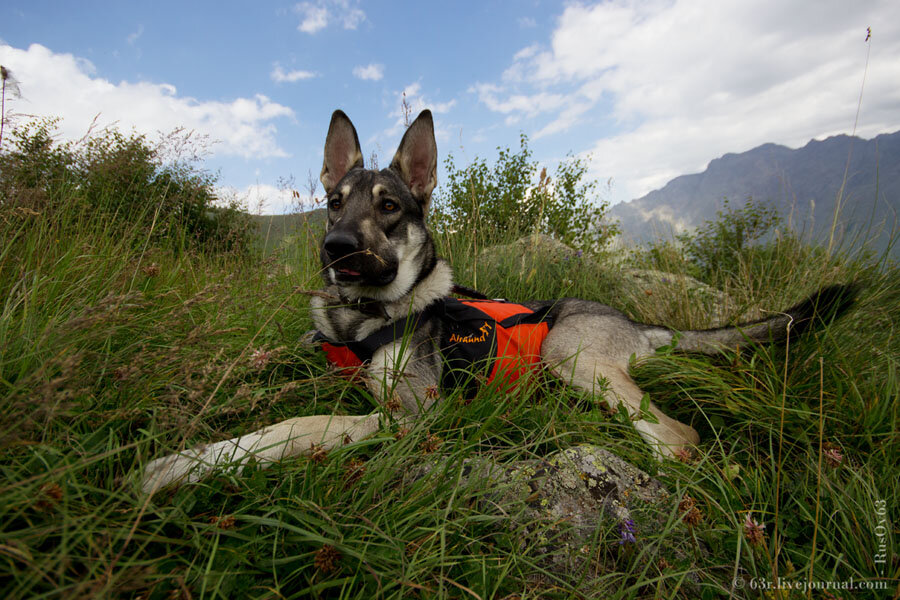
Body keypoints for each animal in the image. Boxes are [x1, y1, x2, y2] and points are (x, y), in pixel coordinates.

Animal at [142, 108, 856, 492]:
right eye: (334, 201)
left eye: (390, 208)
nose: (336, 249)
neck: (360, 316)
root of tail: (636, 321)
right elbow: (255, 366)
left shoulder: (412, 420)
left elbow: (303, 425)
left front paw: (181, 465)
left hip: (570, 353)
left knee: (678, 436)